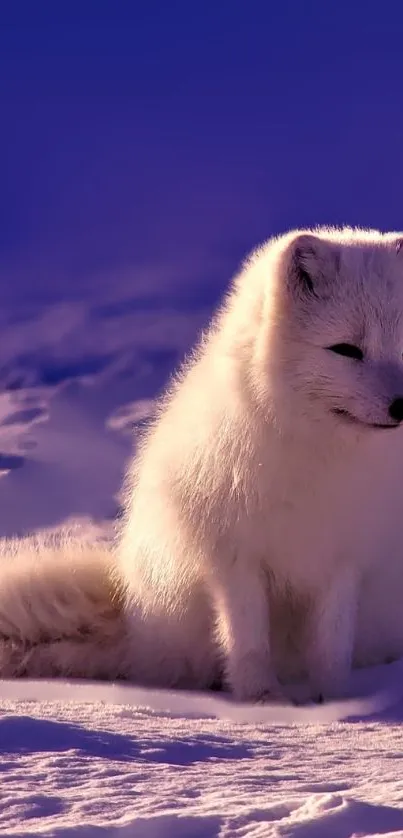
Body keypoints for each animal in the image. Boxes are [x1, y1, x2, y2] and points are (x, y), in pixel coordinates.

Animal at [2, 226, 403, 704]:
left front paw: (333, 700)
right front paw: (263, 702)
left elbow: (332, 645)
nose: (402, 406)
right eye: (345, 350)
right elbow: (247, 640)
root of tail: (133, 621)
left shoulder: (343, 560)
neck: (319, 456)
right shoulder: (234, 558)